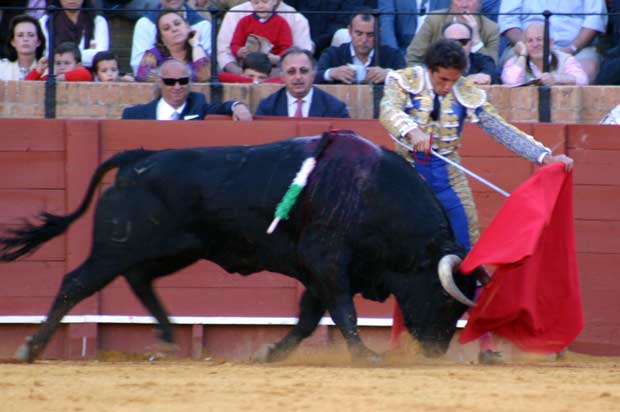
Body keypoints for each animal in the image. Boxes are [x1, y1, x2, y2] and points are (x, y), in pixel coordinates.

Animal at [0, 130, 480, 364]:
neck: (373, 193)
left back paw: (168, 335)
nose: (436, 351)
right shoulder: (326, 261)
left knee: (140, 280)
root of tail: (137, 158)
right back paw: (30, 349)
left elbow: (308, 318)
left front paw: (270, 353)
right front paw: (366, 355)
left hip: (173, 250)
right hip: (115, 248)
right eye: (445, 300)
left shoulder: (316, 272)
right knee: (76, 282)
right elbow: (343, 311)